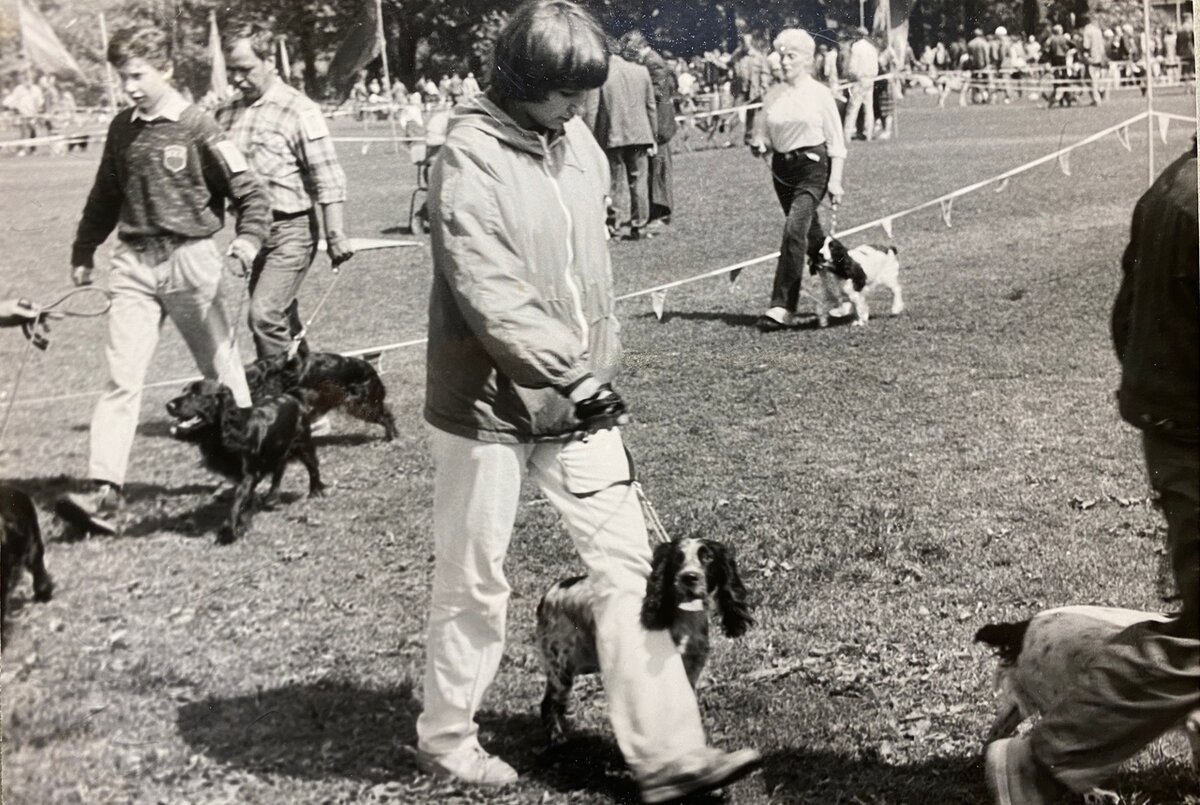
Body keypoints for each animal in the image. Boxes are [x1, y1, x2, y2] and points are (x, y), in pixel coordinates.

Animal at [165, 381, 324, 544]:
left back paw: (315, 492)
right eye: (183, 391)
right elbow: (246, 500)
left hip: (302, 444)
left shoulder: (249, 474)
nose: (169, 405)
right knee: (279, 470)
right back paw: (272, 498)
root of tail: (293, 395)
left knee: (313, 467)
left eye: (196, 394)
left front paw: (228, 533)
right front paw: (243, 522)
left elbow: (237, 502)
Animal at [535, 537, 748, 748]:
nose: (689, 577)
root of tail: (550, 593)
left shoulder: (690, 669)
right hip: (560, 667)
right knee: (549, 704)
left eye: (708, 557)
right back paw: (558, 741)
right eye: (677, 558)